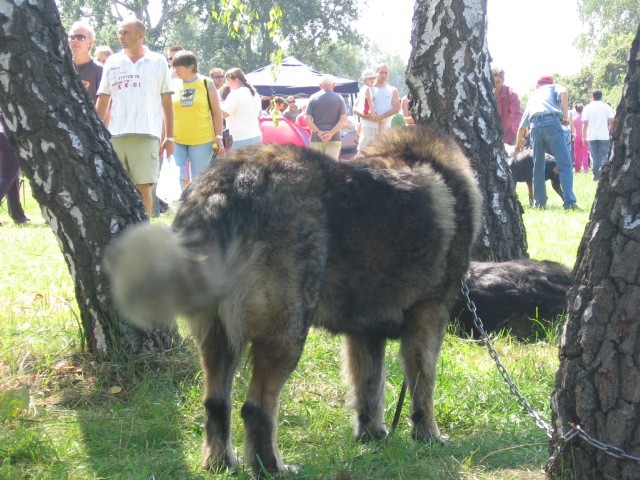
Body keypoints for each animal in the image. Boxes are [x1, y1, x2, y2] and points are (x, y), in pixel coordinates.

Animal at [104, 125, 480, 474]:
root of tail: (225, 187)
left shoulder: (365, 332)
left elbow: (370, 388)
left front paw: (373, 435)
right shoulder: (429, 316)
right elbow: (423, 384)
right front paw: (428, 435)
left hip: (219, 333)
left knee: (216, 402)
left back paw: (221, 463)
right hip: (286, 330)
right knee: (256, 408)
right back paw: (272, 468)